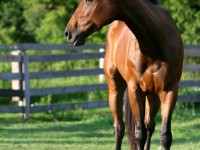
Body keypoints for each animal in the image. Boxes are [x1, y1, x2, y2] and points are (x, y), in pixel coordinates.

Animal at [65, 0, 184, 149]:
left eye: (88, 1)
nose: (68, 32)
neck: (155, 46)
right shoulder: (135, 90)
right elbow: (139, 135)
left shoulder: (169, 91)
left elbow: (165, 136)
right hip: (115, 89)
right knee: (119, 128)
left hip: (152, 95)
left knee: (149, 126)